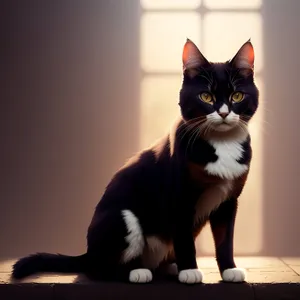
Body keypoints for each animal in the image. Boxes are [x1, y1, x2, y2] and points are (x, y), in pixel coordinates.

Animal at [11, 39, 258, 284]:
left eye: (237, 96)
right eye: (206, 97)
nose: (224, 113)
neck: (223, 144)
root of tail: (87, 253)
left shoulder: (228, 200)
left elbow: (225, 240)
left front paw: (229, 270)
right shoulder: (179, 196)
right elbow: (184, 237)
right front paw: (189, 270)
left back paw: (169, 267)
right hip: (121, 217)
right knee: (99, 269)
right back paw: (137, 272)